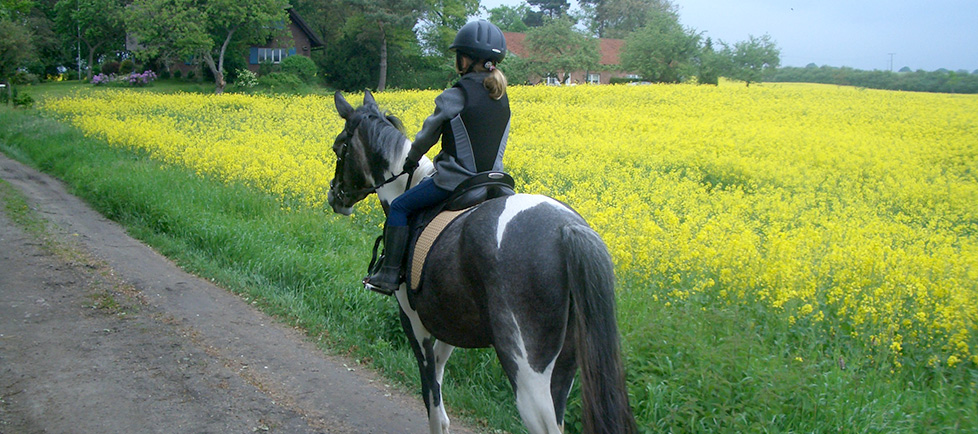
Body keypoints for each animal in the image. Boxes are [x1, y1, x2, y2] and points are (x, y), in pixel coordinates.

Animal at [328, 89, 632, 434]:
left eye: (340, 147)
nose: (334, 196)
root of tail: (565, 228)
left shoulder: (415, 324)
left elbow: (432, 401)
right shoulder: (449, 324)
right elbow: (440, 384)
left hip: (528, 372)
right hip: (565, 367)